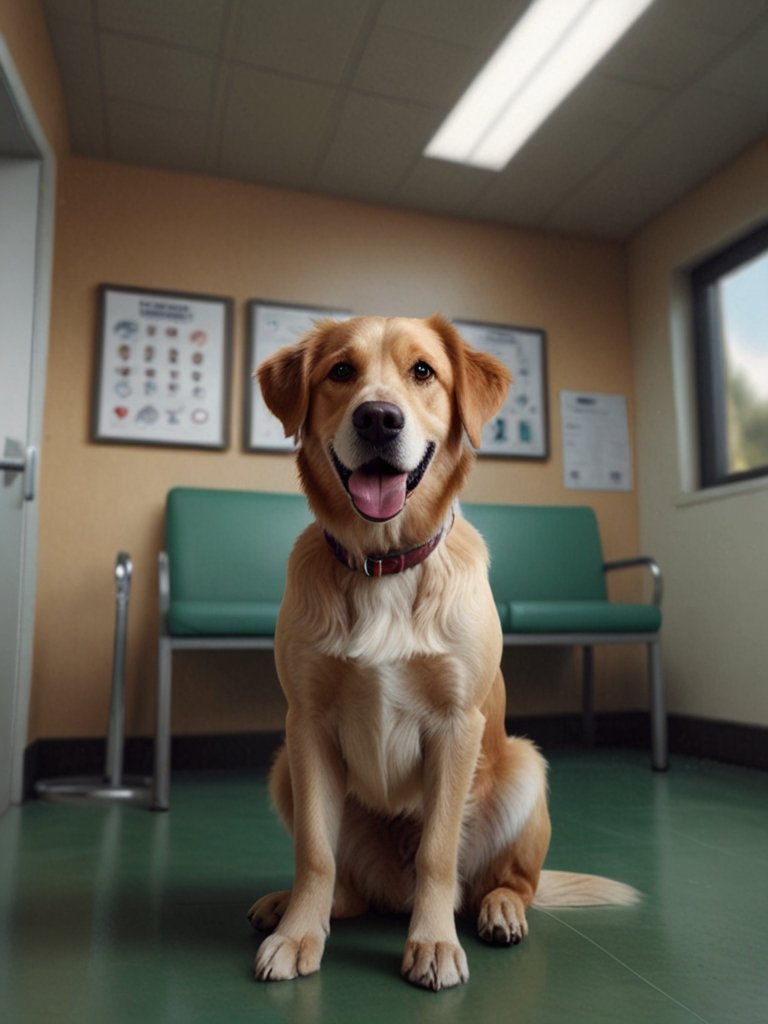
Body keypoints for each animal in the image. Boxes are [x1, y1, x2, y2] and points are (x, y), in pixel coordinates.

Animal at [247, 315, 638, 987]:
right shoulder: (307, 725)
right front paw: (298, 935)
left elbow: (437, 850)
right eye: (341, 371)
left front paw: (431, 943)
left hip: (525, 769)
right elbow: (315, 853)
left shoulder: (457, 725)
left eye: (423, 371)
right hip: (283, 770)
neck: (384, 563)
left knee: (501, 882)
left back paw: (499, 910)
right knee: (349, 887)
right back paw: (290, 906)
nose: (378, 418)